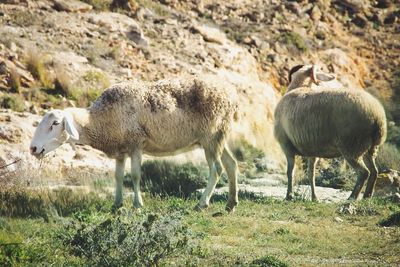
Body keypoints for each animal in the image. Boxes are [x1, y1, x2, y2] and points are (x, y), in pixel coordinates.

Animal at [30, 76, 241, 213]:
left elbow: (135, 175)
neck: (99, 120)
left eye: (55, 123)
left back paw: (202, 203)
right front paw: (117, 204)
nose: (33, 148)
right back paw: (230, 204)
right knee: (231, 164)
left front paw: (138, 204)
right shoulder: (120, 150)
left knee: (217, 169)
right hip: (218, 136)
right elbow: (118, 176)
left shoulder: (136, 144)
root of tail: (231, 95)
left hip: (210, 136)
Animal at [274, 65, 386, 202]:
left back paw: (352, 197)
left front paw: (289, 196)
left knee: (364, 173)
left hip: (352, 145)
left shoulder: (286, 145)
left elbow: (290, 172)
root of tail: (377, 116)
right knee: (374, 171)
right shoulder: (313, 151)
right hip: (370, 148)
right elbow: (311, 174)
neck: (299, 87)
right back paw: (367, 196)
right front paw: (314, 198)